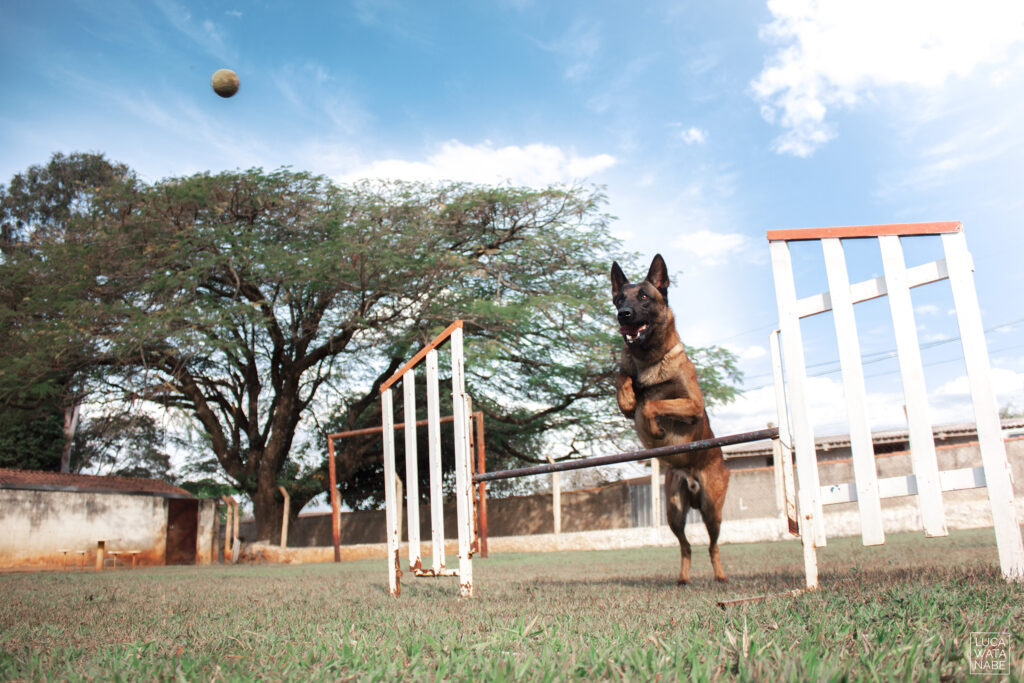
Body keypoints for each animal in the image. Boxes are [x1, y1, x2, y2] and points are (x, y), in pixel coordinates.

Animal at [606, 253, 729, 585]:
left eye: (644, 297)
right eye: (619, 298)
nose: (623, 315)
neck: (649, 359)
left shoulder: (693, 405)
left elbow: (654, 405)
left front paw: (656, 429)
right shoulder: (627, 370)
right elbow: (621, 375)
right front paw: (627, 400)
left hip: (712, 509)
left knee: (712, 545)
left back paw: (721, 575)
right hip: (674, 512)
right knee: (686, 546)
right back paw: (683, 579)